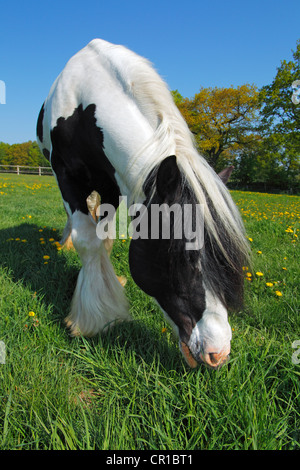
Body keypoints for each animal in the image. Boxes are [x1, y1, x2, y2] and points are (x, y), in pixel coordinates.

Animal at [36, 38, 250, 370]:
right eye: (184, 258)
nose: (219, 353)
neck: (82, 110)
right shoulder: (66, 175)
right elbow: (88, 241)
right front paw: (94, 317)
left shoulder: (113, 186)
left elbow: (103, 238)